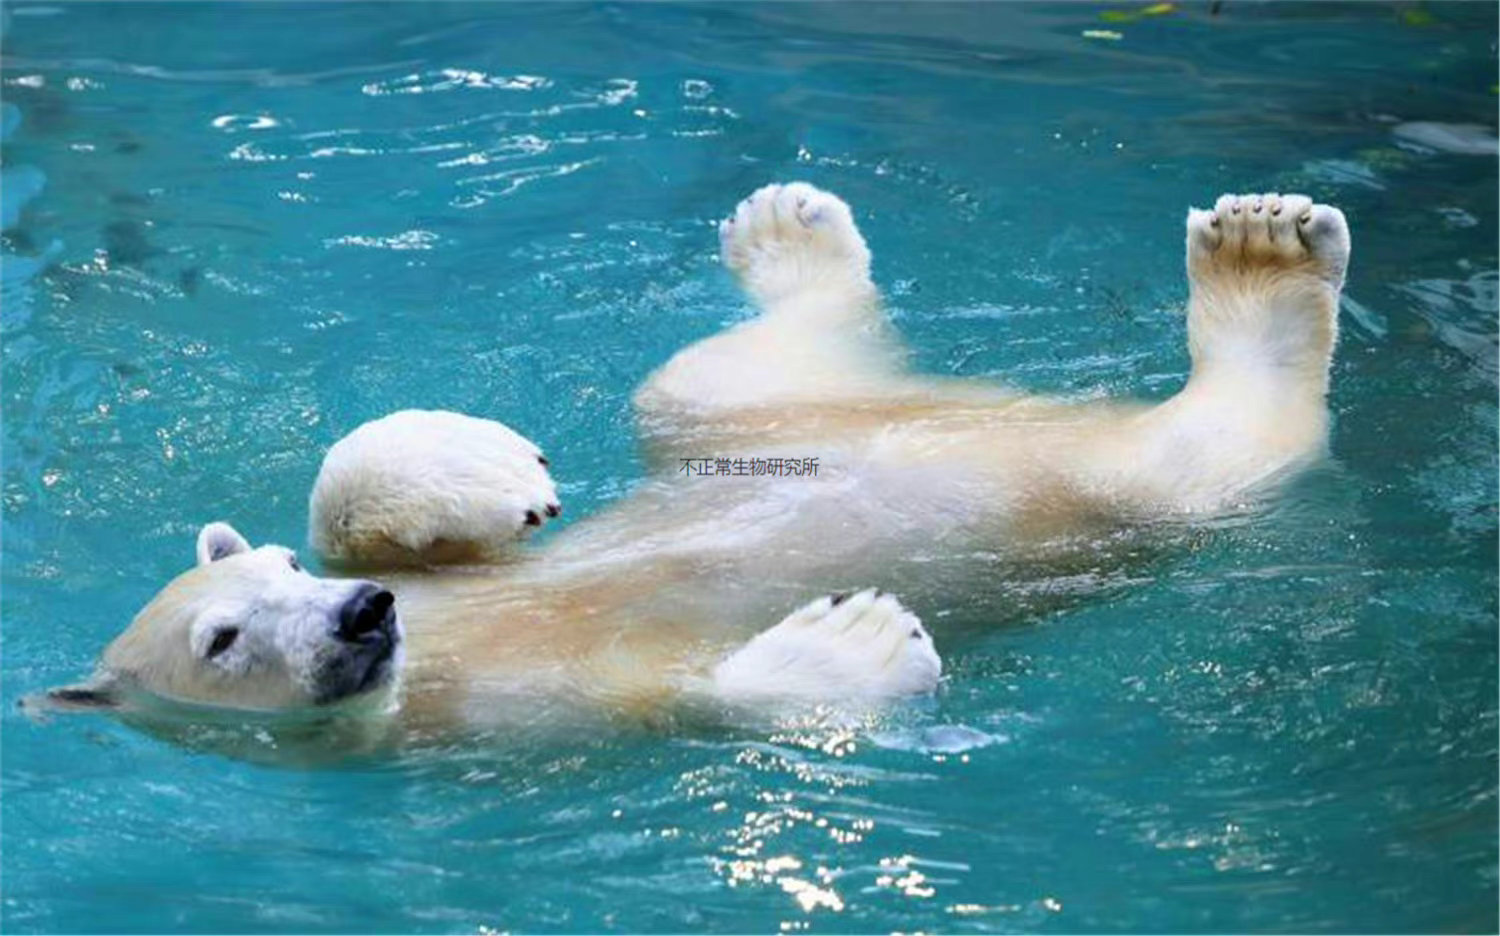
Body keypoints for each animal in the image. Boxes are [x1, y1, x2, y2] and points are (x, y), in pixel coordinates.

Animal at [38, 179, 1350, 741]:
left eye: (286, 578)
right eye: (222, 640)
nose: (362, 613)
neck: (434, 666)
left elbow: (375, 506)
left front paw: (485, 468)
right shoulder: (514, 722)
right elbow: (694, 694)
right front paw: (859, 639)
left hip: (753, 421)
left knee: (705, 375)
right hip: (1136, 492)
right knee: (1216, 456)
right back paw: (1261, 278)